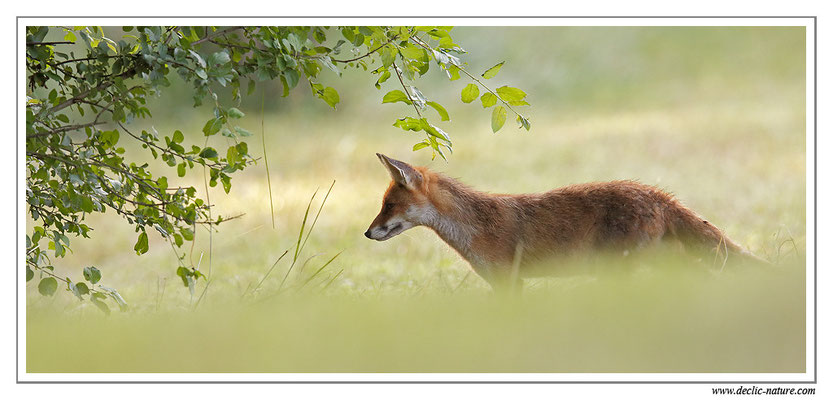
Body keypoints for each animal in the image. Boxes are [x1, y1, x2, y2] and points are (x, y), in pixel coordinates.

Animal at [364, 153, 768, 290]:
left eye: (388, 205)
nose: (367, 233)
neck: (474, 225)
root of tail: (657, 193)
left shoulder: (509, 280)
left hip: (624, 267)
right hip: (663, 260)